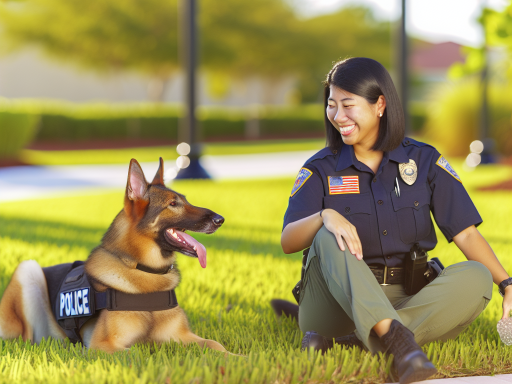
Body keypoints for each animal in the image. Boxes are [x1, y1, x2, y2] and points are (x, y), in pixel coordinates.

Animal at [0, 158, 228, 352]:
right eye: (173, 204)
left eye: (185, 201)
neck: (144, 270)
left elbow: (216, 345)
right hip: (28, 270)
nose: (220, 219)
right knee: (25, 338)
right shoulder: (103, 346)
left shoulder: (184, 336)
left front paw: (236, 360)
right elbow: (138, 354)